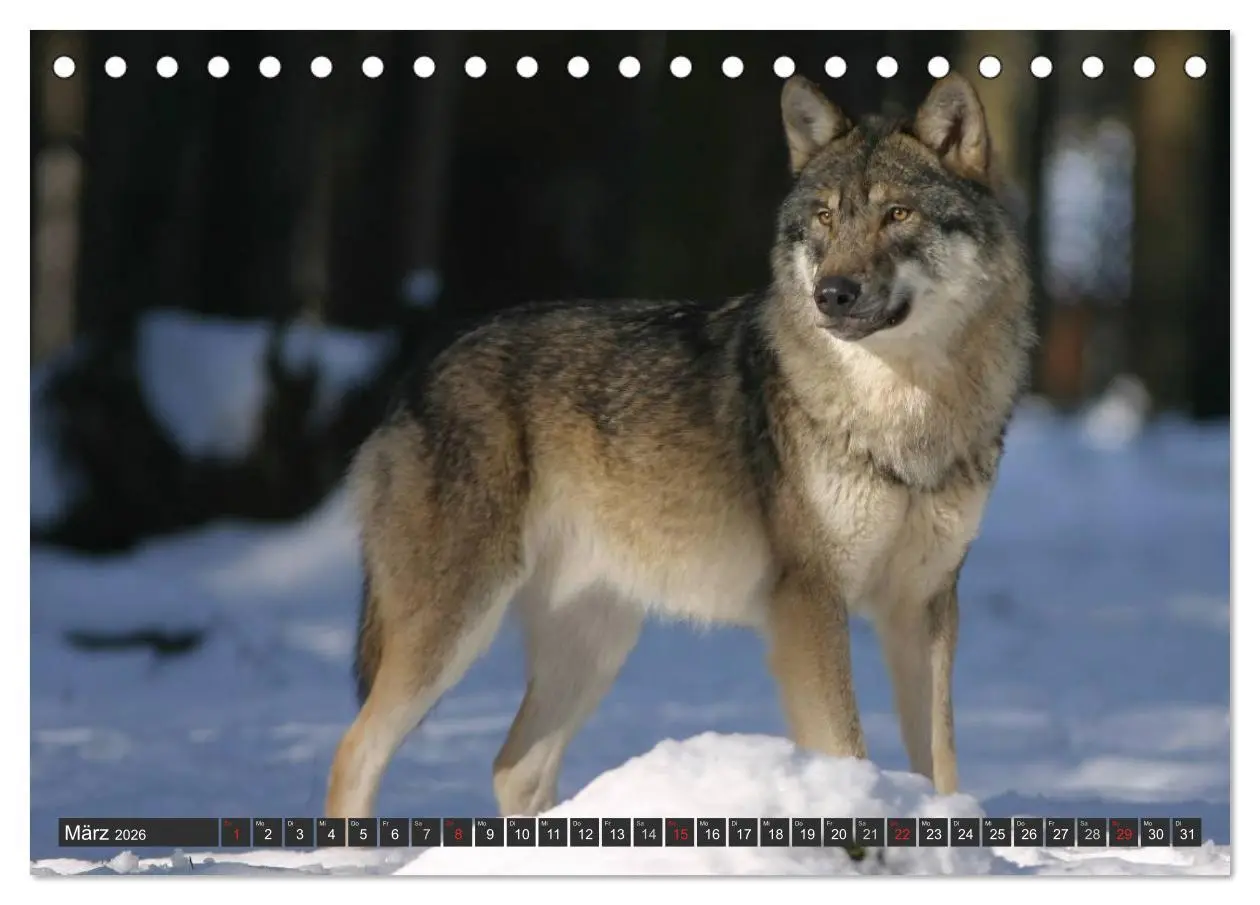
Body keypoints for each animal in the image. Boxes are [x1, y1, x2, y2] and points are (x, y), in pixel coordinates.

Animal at [325, 73, 1034, 820]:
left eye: (898, 214)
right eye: (823, 219)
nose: (831, 294)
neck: (903, 416)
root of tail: (418, 373)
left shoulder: (924, 604)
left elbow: (940, 760)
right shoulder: (810, 601)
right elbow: (846, 744)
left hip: (596, 642)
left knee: (513, 766)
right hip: (455, 628)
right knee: (355, 751)